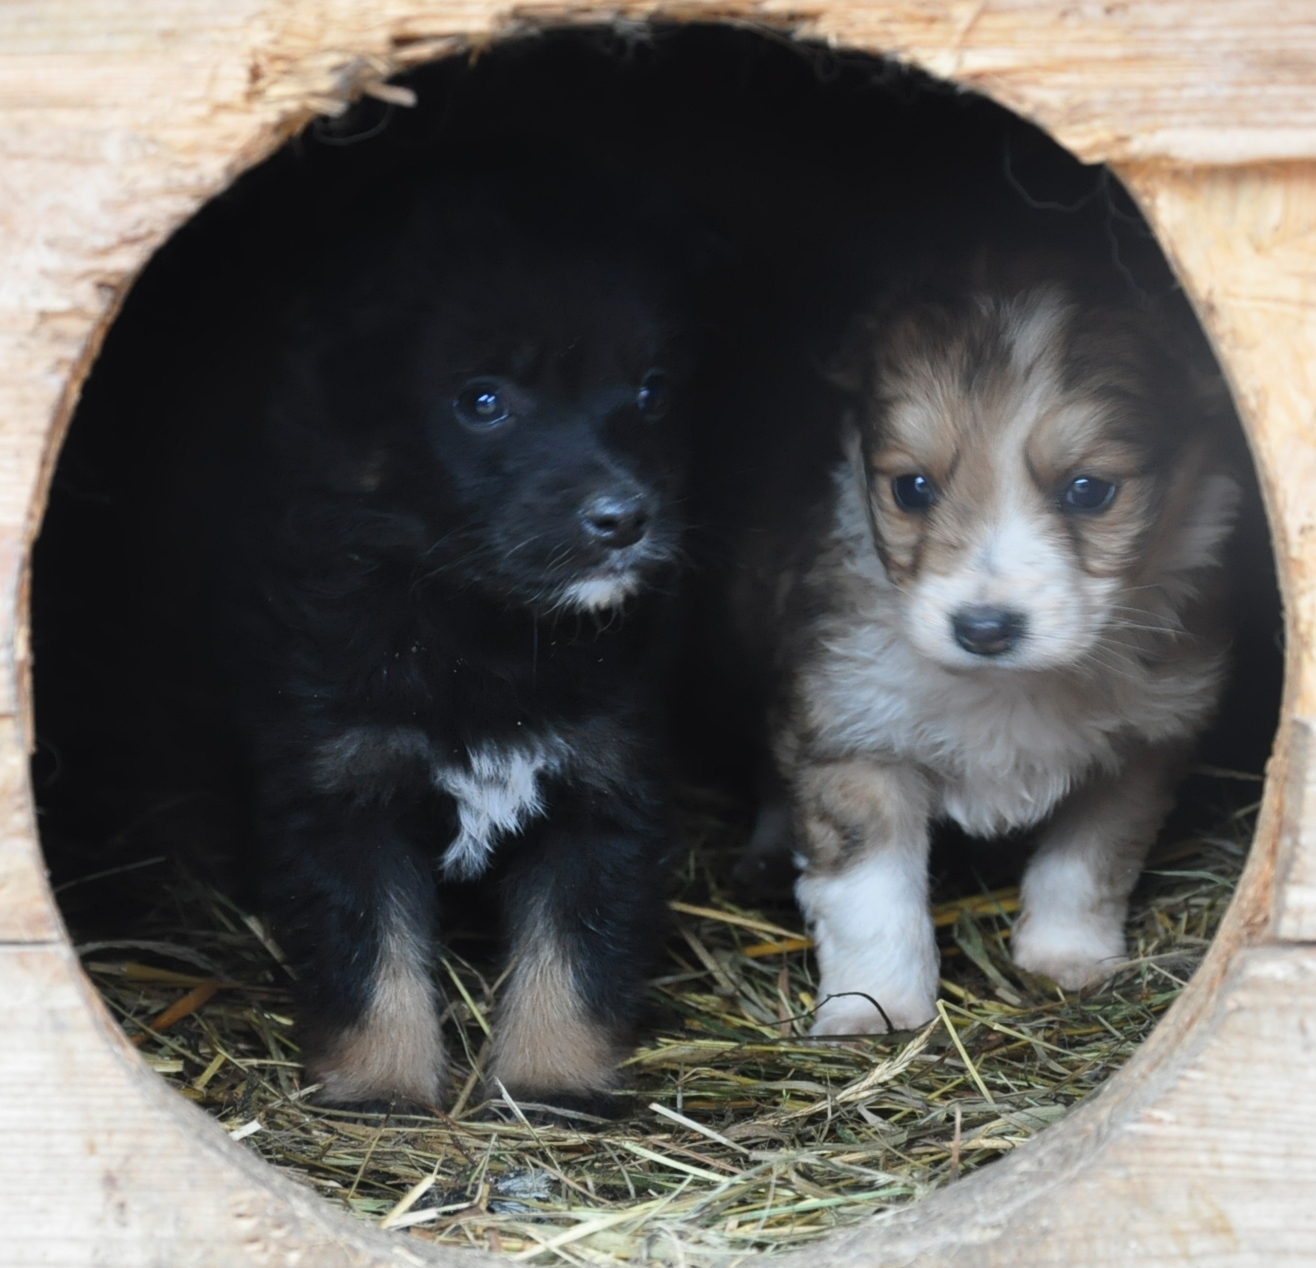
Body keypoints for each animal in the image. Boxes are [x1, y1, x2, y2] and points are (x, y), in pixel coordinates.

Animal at [721, 261, 1240, 1034]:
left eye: (1088, 490)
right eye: (912, 488)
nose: (984, 629)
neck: (1007, 684)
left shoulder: (1143, 747)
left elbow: (1088, 864)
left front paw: (1066, 957)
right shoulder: (852, 735)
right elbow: (870, 897)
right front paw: (875, 1011)